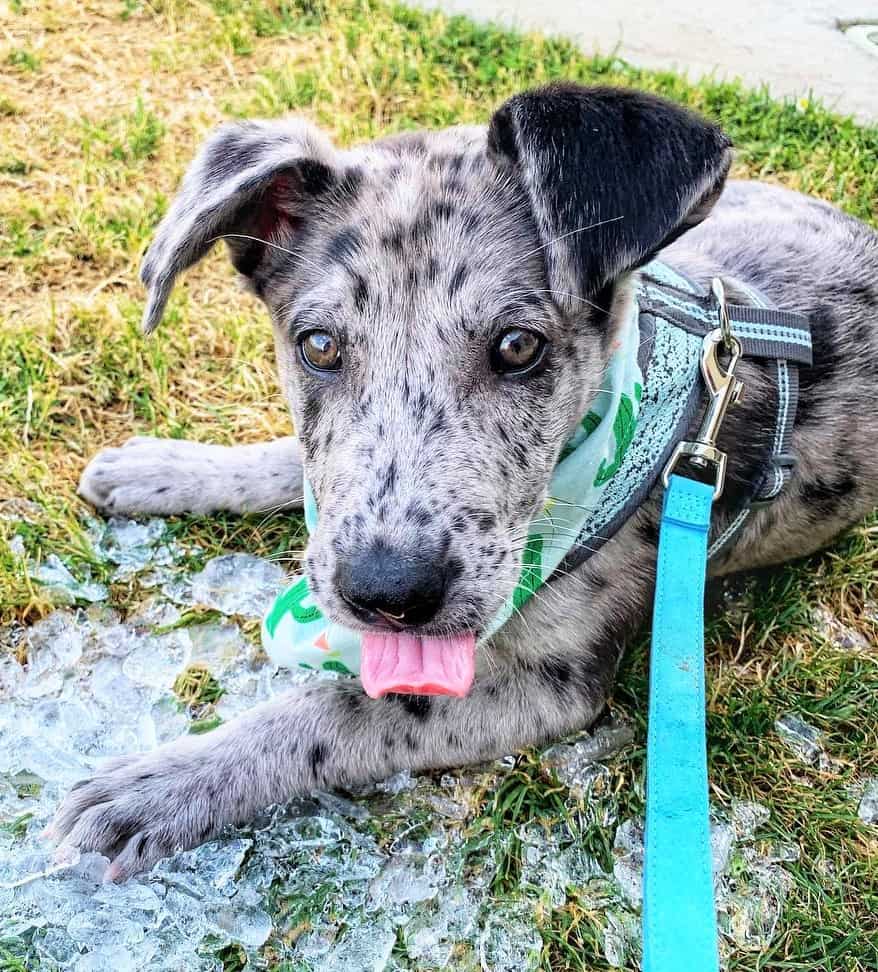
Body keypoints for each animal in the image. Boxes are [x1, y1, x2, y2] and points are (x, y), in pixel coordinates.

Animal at [51, 81, 876, 880]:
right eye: (317, 345)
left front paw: (162, 786)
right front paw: (164, 469)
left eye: (518, 347)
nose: (387, 595)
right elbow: (293, 459)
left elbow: (336, 710)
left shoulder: (551, 687)